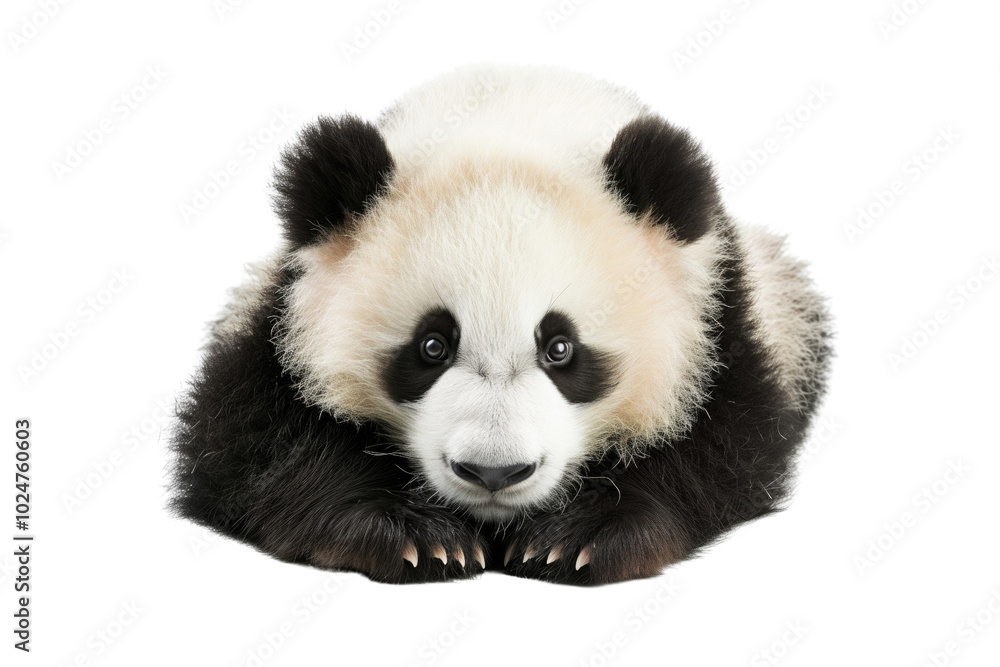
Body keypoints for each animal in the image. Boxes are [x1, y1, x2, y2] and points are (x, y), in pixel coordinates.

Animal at [170, 64, 832, 585]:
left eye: (561, 348)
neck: (514, 108)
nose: (494, 471)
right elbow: (249, 448)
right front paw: (419, 535)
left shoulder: (720, 316)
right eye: (431, 346)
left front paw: (573, 537)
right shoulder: (278, 315)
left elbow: (722, 449)